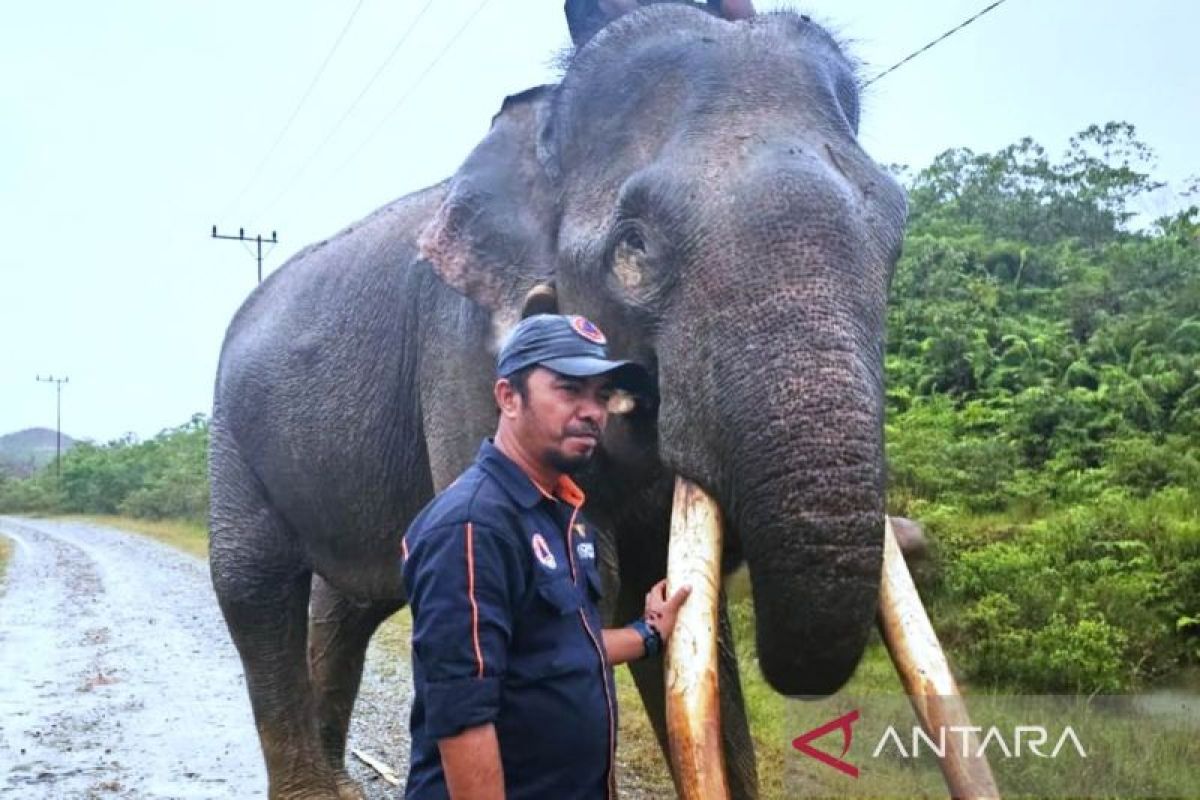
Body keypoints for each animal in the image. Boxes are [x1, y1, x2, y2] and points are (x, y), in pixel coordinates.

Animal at [213, 3, 907, 796]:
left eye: (897, 239)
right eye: (634, 248)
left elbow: (666, 596)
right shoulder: (459, 351)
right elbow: (595, 582)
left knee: (349, 602)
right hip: (230, 434)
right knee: (254, 584)